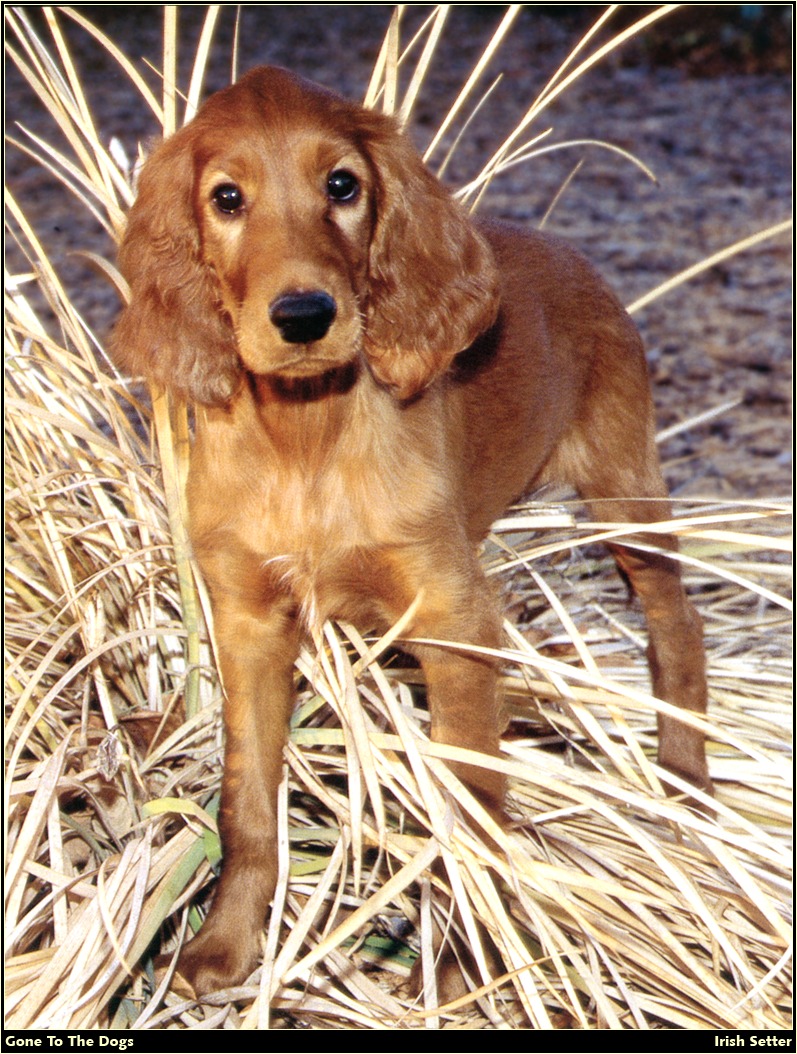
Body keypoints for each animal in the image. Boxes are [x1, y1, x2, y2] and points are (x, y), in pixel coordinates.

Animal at [113, 65, 708, 994]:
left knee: (676, 620)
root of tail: (564, 249)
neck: (307, 438)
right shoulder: (248, 624)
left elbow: (469, 794)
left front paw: (469, 959)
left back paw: (683, 780)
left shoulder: (452, 617)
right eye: (226, 198)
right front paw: (224, 944)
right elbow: (245, 797)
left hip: (623, 486)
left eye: (341, 185)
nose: (304, 315)